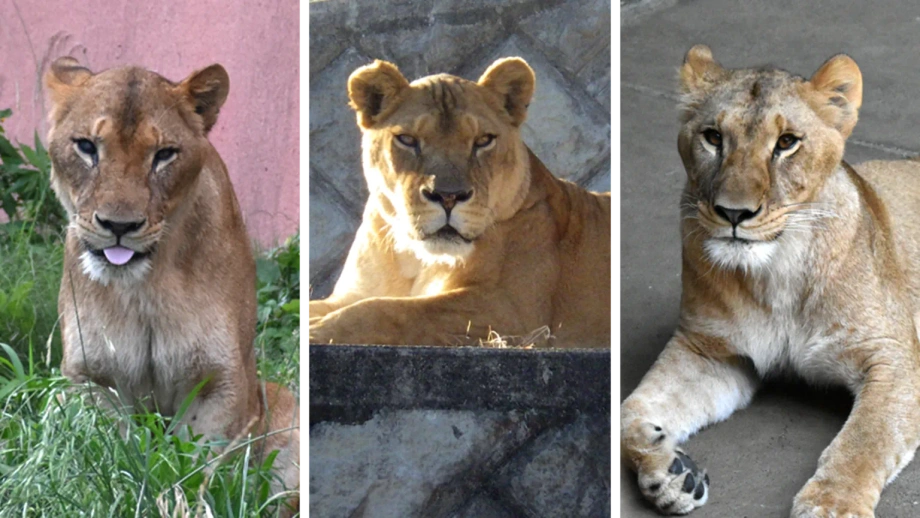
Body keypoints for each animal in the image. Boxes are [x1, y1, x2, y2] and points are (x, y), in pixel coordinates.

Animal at [44, 57, 302, 515]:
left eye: (164, 154)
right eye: (87, 147)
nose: (120, 226)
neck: (145, 288)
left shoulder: (220, 381)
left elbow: (196, 468)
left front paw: (182, 504)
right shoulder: (90, 378)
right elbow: (111, 458)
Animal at [306, 57, 613, 348]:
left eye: (483, 140)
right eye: (407, 139)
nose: (448, 196)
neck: (416, 259)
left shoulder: (515, 311)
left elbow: (396, 310)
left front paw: (315, 331)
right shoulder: (350, 294)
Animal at [618, 45, 920, 517]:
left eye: (786, 143)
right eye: (713, 137)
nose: (733, 213)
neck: (778, 274)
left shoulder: (893, 357)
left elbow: (863, 441)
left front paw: (831, 505)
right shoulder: (710, 351)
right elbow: (627, 413)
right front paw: (671, 474)